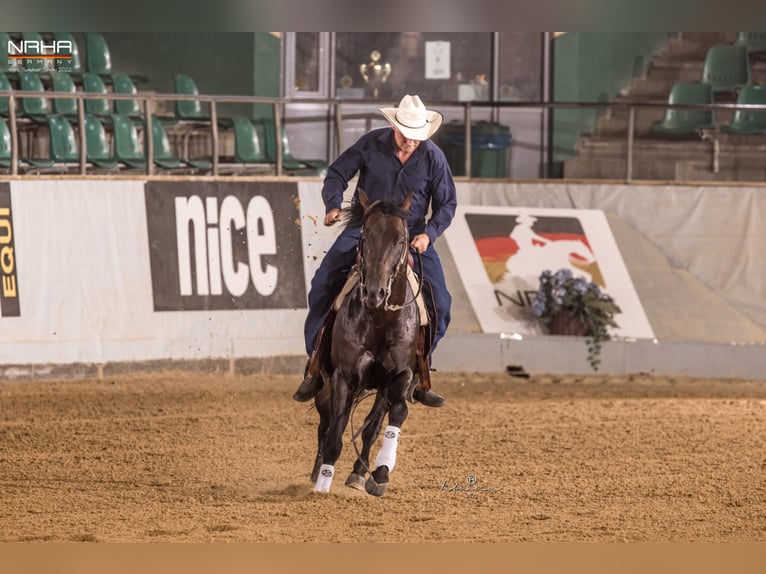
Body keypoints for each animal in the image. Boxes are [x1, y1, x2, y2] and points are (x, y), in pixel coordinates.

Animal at [310, 189, 421, 496]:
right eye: (365, 237)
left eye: (401, 240)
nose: (374, 292)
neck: (379, 320)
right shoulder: (343, 375)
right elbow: (335, 432)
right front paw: (323, 481)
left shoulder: (398, 376)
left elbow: (390, 417)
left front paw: (377, 472)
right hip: (327, 382)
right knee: (327, 423)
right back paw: (317, 470)